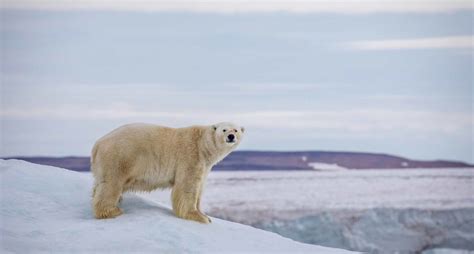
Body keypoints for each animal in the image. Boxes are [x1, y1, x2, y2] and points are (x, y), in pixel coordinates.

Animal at [91, 122, 244, 223]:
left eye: (236, 130)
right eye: (224, 129)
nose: (231, 136)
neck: (202, 144)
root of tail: (98, 144)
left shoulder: (205, 165)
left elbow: (200, 187)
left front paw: (204, 214)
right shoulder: (191, 156)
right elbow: (187, 186)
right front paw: (198, 216)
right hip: (120, 157)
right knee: (111, 184)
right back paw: (111, 210)